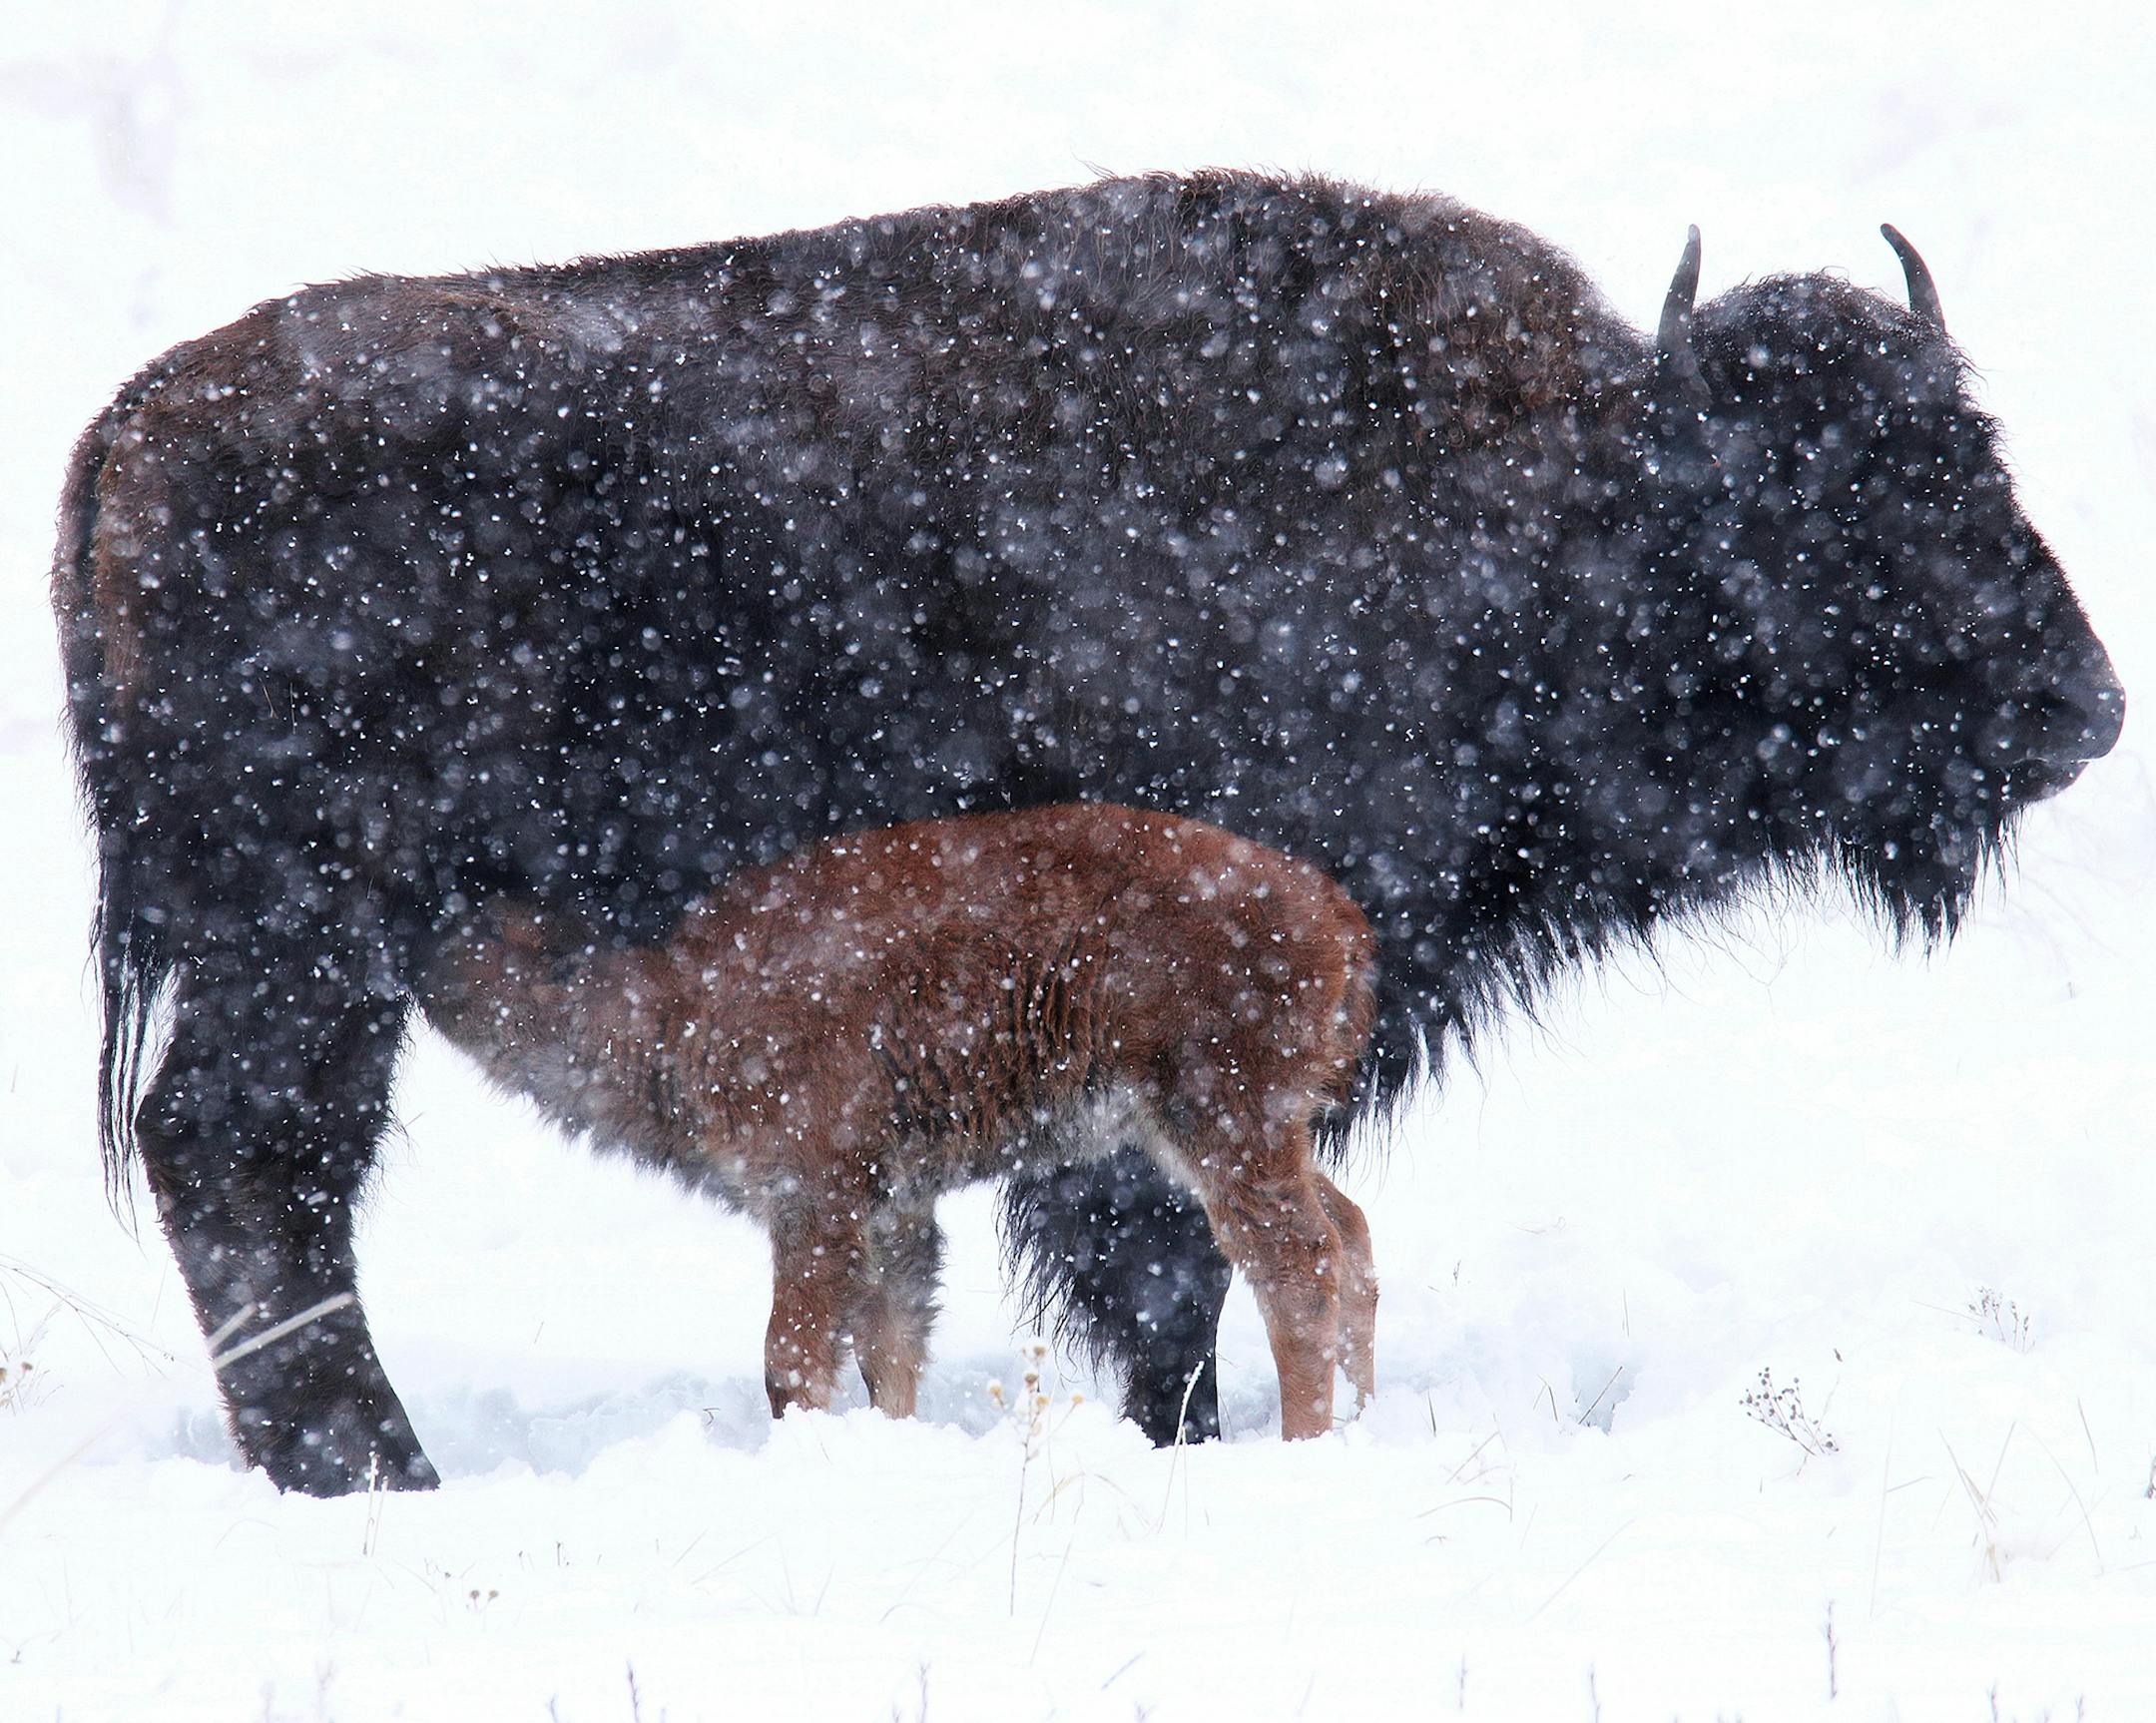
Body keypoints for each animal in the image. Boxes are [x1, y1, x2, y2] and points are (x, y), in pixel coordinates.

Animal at [52, 171, 2122, 1493]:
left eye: (1973, 446)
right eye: (1822, 498)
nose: (2085, 707)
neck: (1546, 502)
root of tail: (129, 437)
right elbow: (1164, 1271)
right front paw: (1181, 1445)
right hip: (309, 950)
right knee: (258, 1167)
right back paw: (381, 1479)